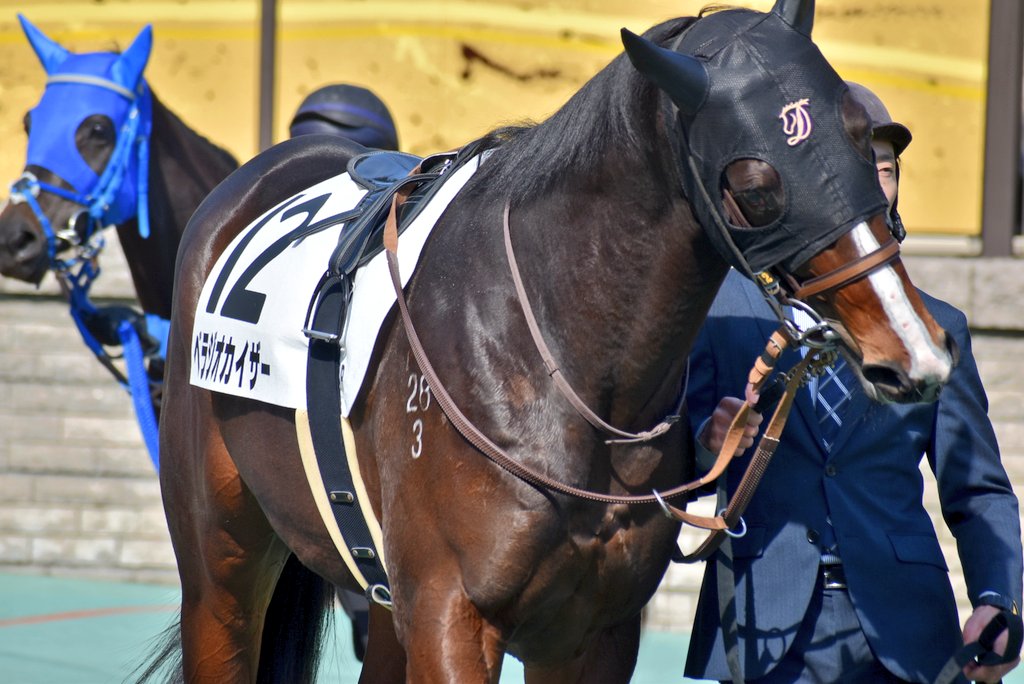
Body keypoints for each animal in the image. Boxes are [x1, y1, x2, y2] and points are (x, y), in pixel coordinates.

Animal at [154, 0, 956, 681]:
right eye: (758, 184)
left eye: (861, 142)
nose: (914, 351)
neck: (547, 355)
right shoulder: (453, 615)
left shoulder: (590, 631)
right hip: (221, 568)